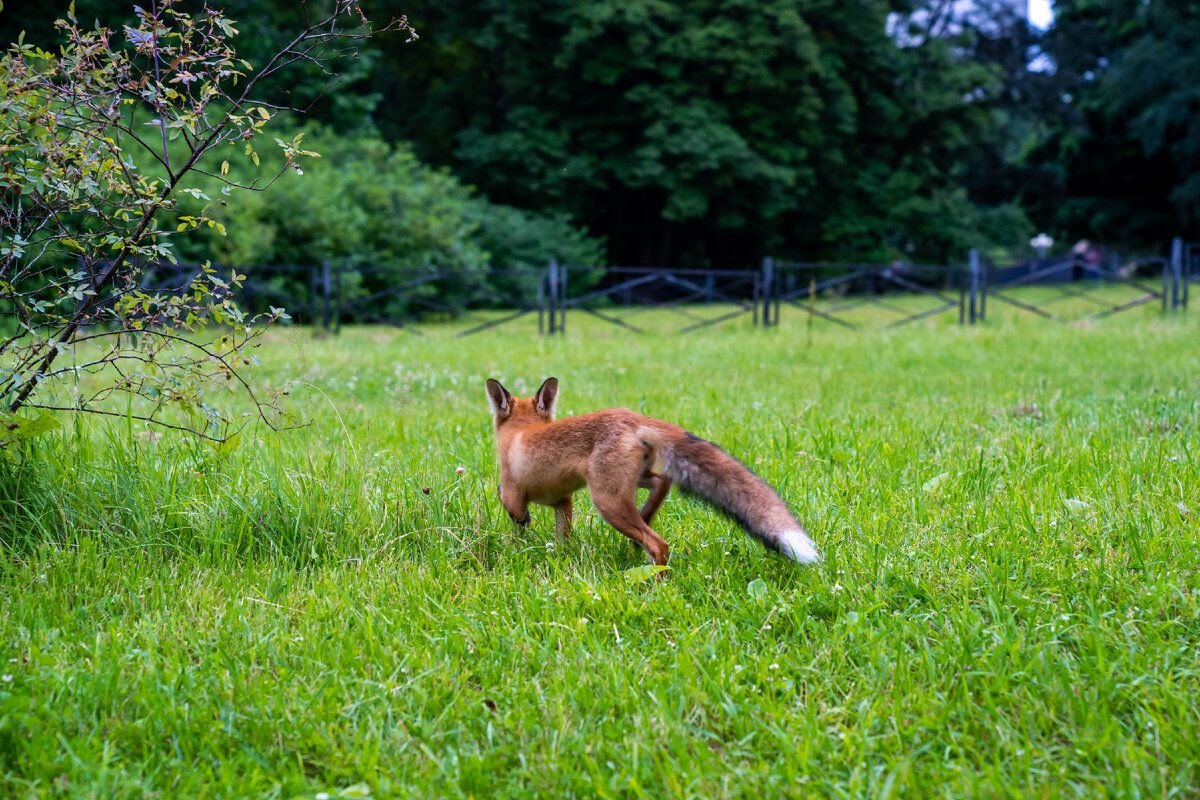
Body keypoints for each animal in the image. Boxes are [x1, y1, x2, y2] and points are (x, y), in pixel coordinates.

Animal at [482, 376, 820, 568]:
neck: (521, 432)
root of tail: (632, 417)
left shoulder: (513, 494)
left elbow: (510, 508)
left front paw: (519, 543)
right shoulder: (563, 501)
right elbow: (563, 537)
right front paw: (560, 556)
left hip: (607, 501)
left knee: (660, 544)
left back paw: (654, 587)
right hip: (628, 486)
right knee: (662, 484)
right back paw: (643, 527)